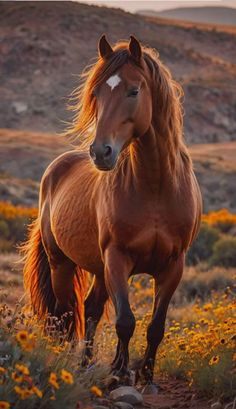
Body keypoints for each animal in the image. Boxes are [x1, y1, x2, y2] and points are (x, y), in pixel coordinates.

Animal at [23, 35, 202, 386]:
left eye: (134, 91)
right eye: (96, 93)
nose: (100, 152)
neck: (155, 187)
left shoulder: (173, 265)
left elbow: (155, 326)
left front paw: (146, 376)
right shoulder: (117, 258)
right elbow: (125, 320)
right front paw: (119, 372)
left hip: (97, 267)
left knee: (90, 309)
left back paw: (86, 364)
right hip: (62, 263)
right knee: (65, 314)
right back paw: (67, 362)